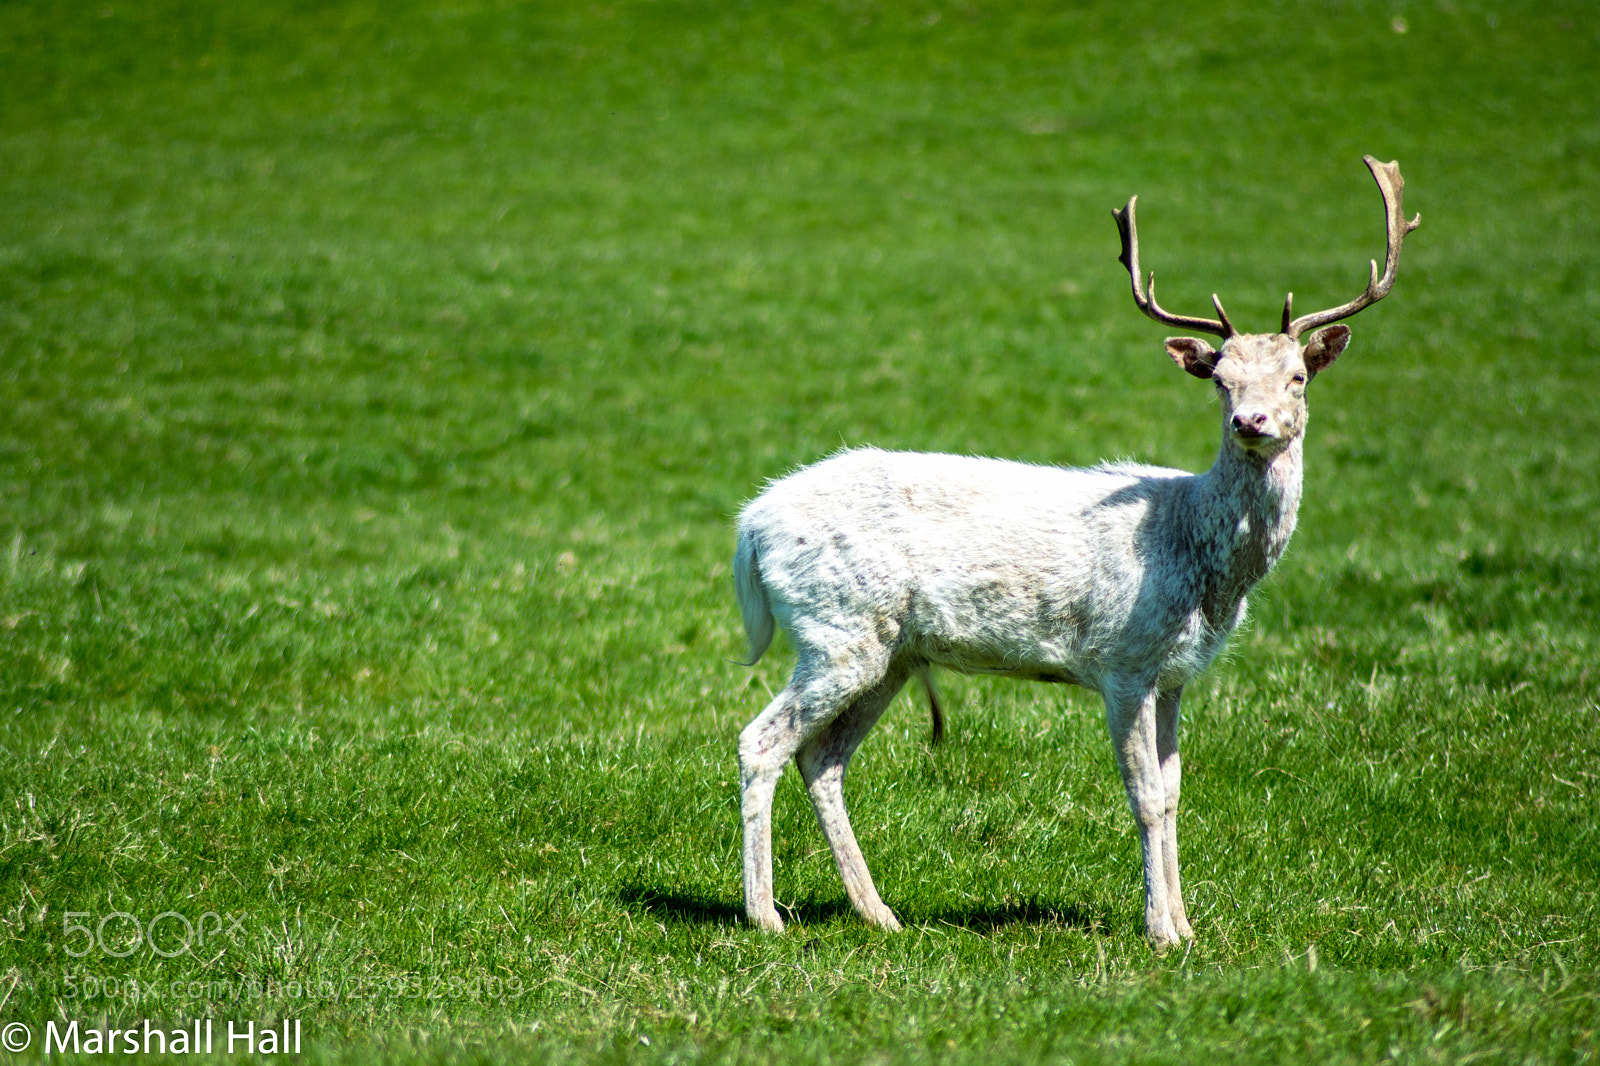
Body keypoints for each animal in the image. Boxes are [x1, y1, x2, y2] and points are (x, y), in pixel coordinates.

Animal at [731, 156, 1418, 949]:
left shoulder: (1176, 674)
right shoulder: (1123, 659)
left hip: (889, 651)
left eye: (1298, 377)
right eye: (1220, 380)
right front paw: (1160, 931)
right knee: (760, 742)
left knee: (821, 757)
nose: (1252, 421)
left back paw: (879, 913)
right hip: (837, 630)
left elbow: (1175, 793)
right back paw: (764, 915)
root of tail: (750, 523)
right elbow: (1144, 795)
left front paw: (1188, 925)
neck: (1203, 565)